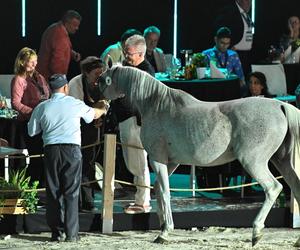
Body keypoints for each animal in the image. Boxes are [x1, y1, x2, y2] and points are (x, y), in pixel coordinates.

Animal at [97, 65, 300, 247]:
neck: (156, 105)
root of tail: (280, 105)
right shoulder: (171, 163)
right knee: (296, 188)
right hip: (282, 162)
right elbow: (158, 188)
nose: (99, 107)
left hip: (254, 162)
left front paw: (165, 232)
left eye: (102, 80)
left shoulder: (157, 159)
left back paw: (256, 232)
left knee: (273, 188)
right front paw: (162, 225)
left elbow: (164, 191)